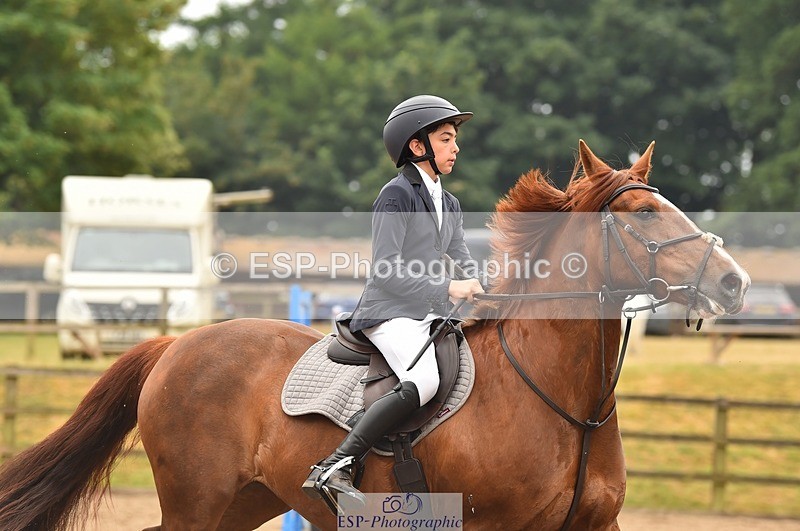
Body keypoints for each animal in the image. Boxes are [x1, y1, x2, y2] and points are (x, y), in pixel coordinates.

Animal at [0, 140, 749, 531]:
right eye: (644, 215)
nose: (734, 282)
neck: (568, 405)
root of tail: (176, 345)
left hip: (243, 501)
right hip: (197, 498)